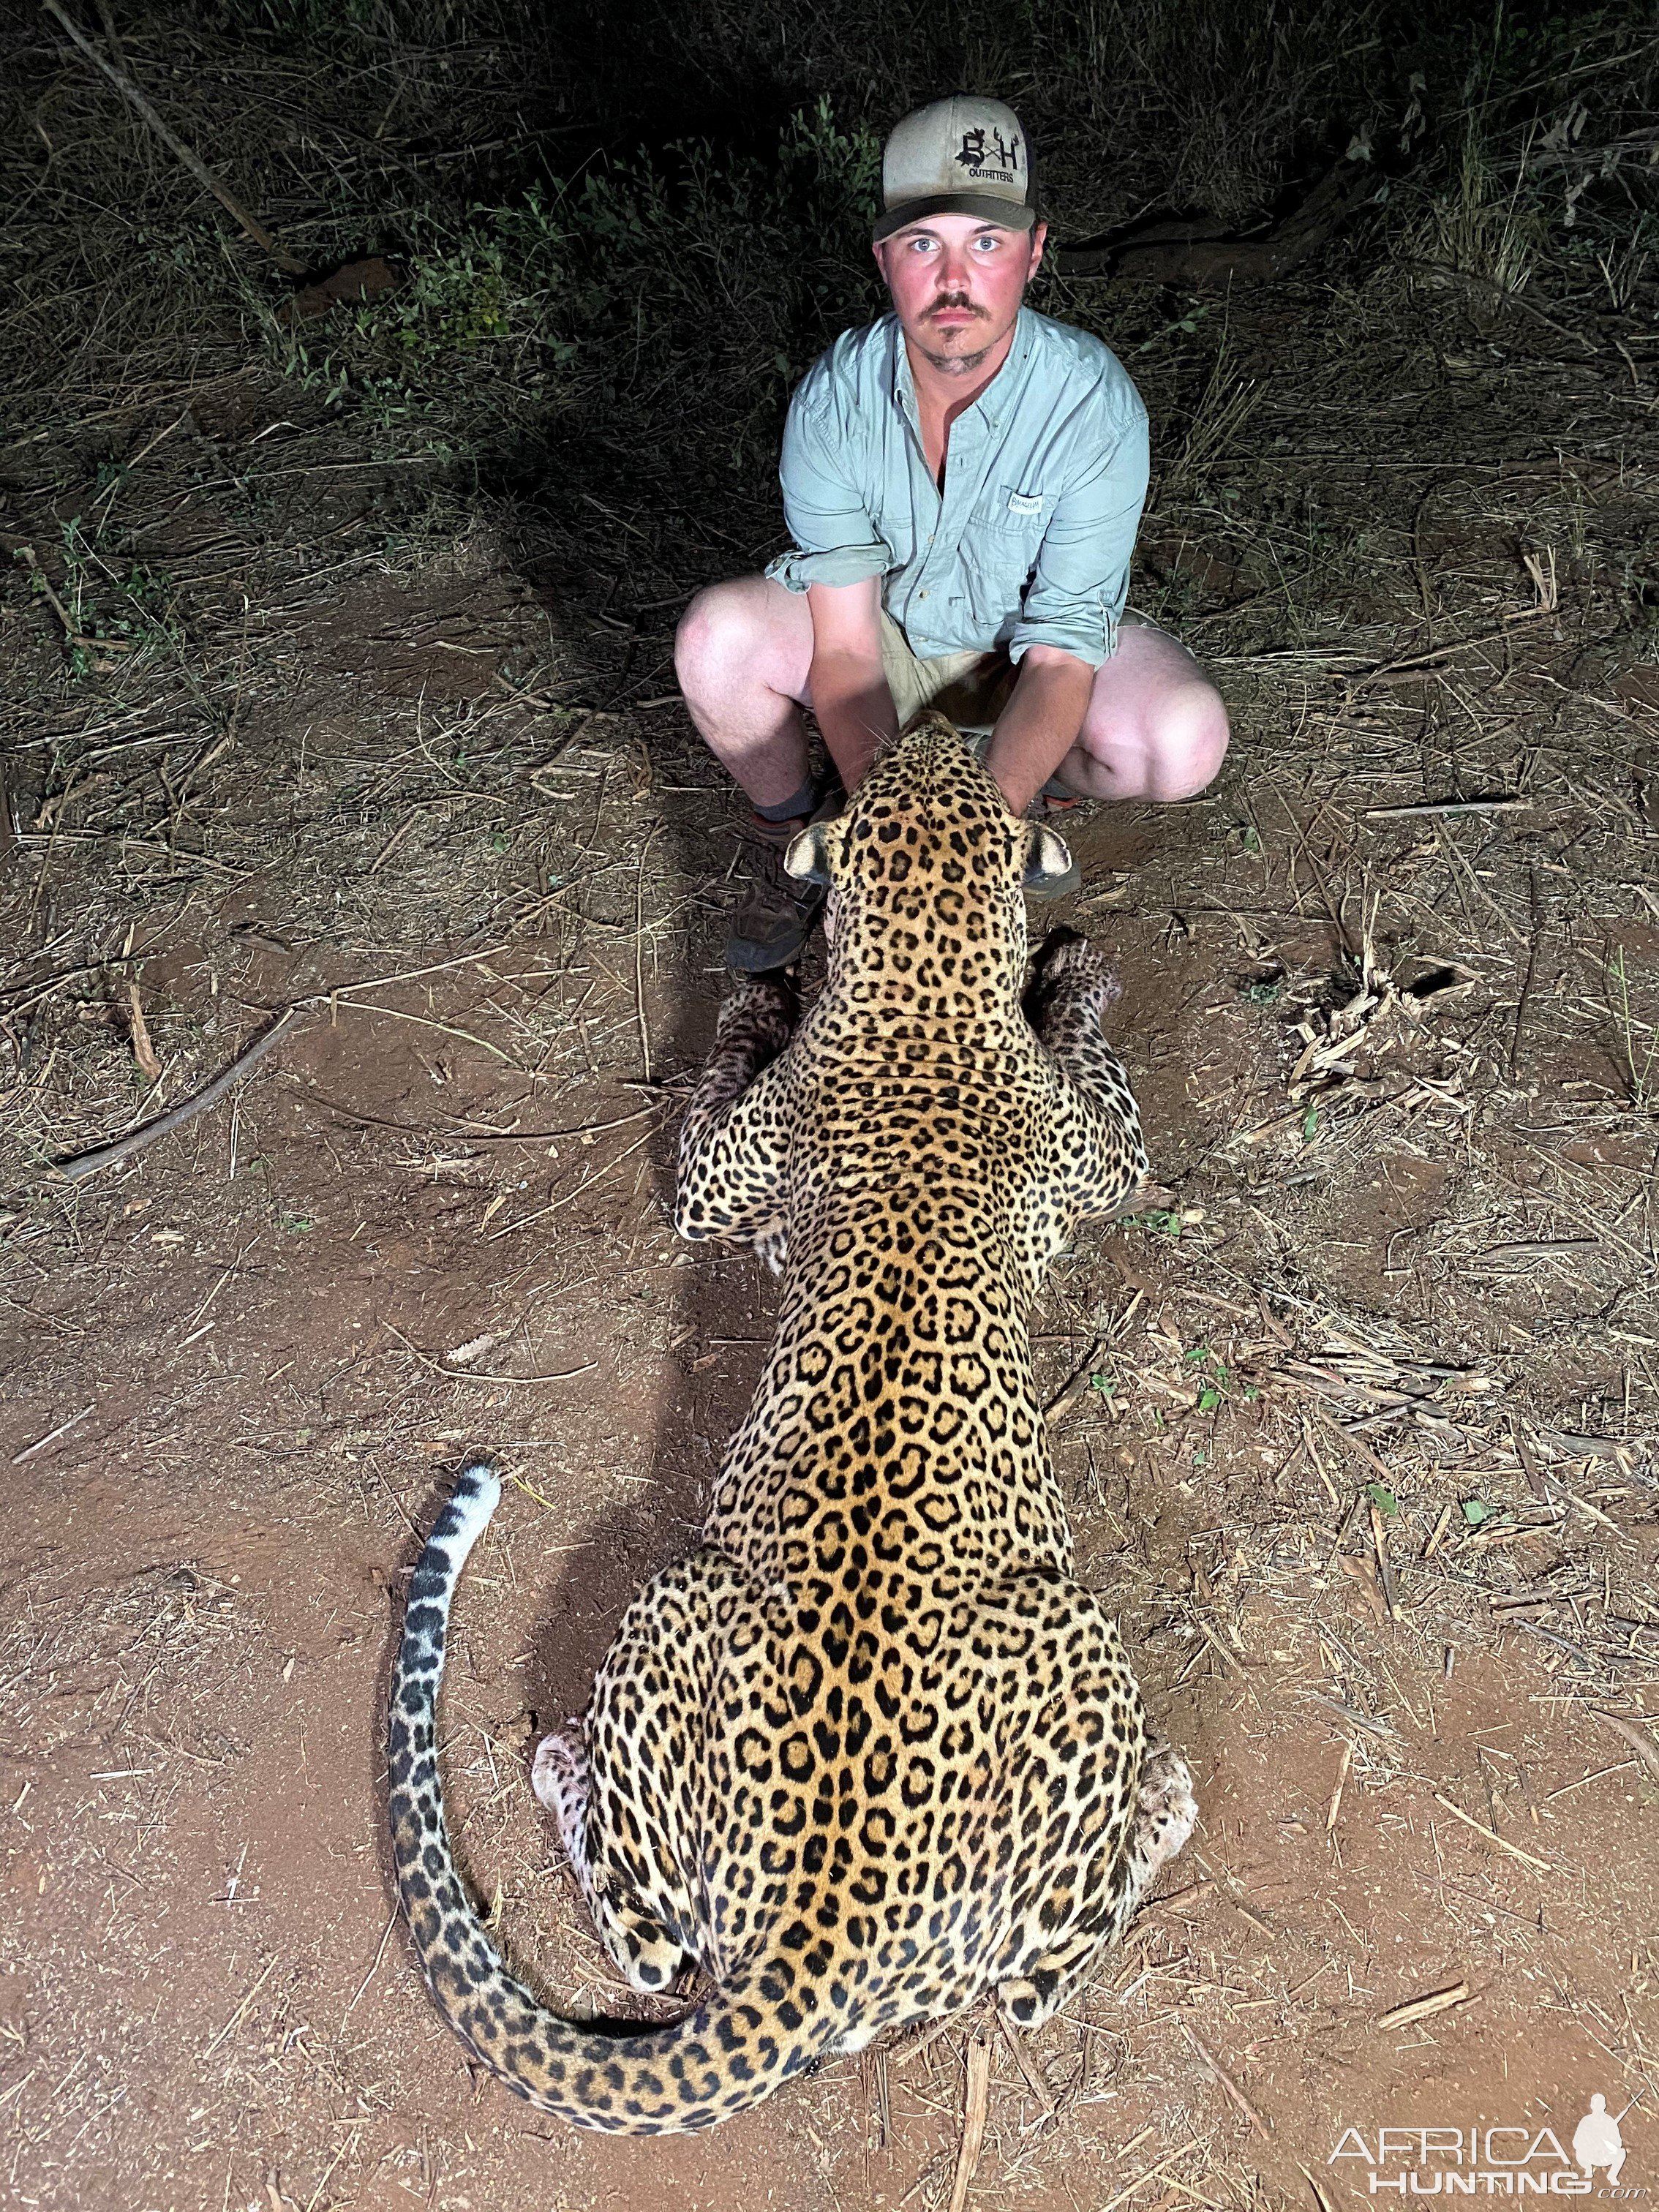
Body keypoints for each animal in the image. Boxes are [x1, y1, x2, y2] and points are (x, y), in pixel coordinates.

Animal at [389, 707, 1194, 2123]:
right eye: (924, 756)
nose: (935, 720)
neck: (922, 983)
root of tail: (809, 1951)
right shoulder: (1075, 1150)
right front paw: (1063, 980)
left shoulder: (729, 1177)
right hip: (1033, 1632)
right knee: (1029, 1979)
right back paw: (1164, 1801)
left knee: (663, 1946)